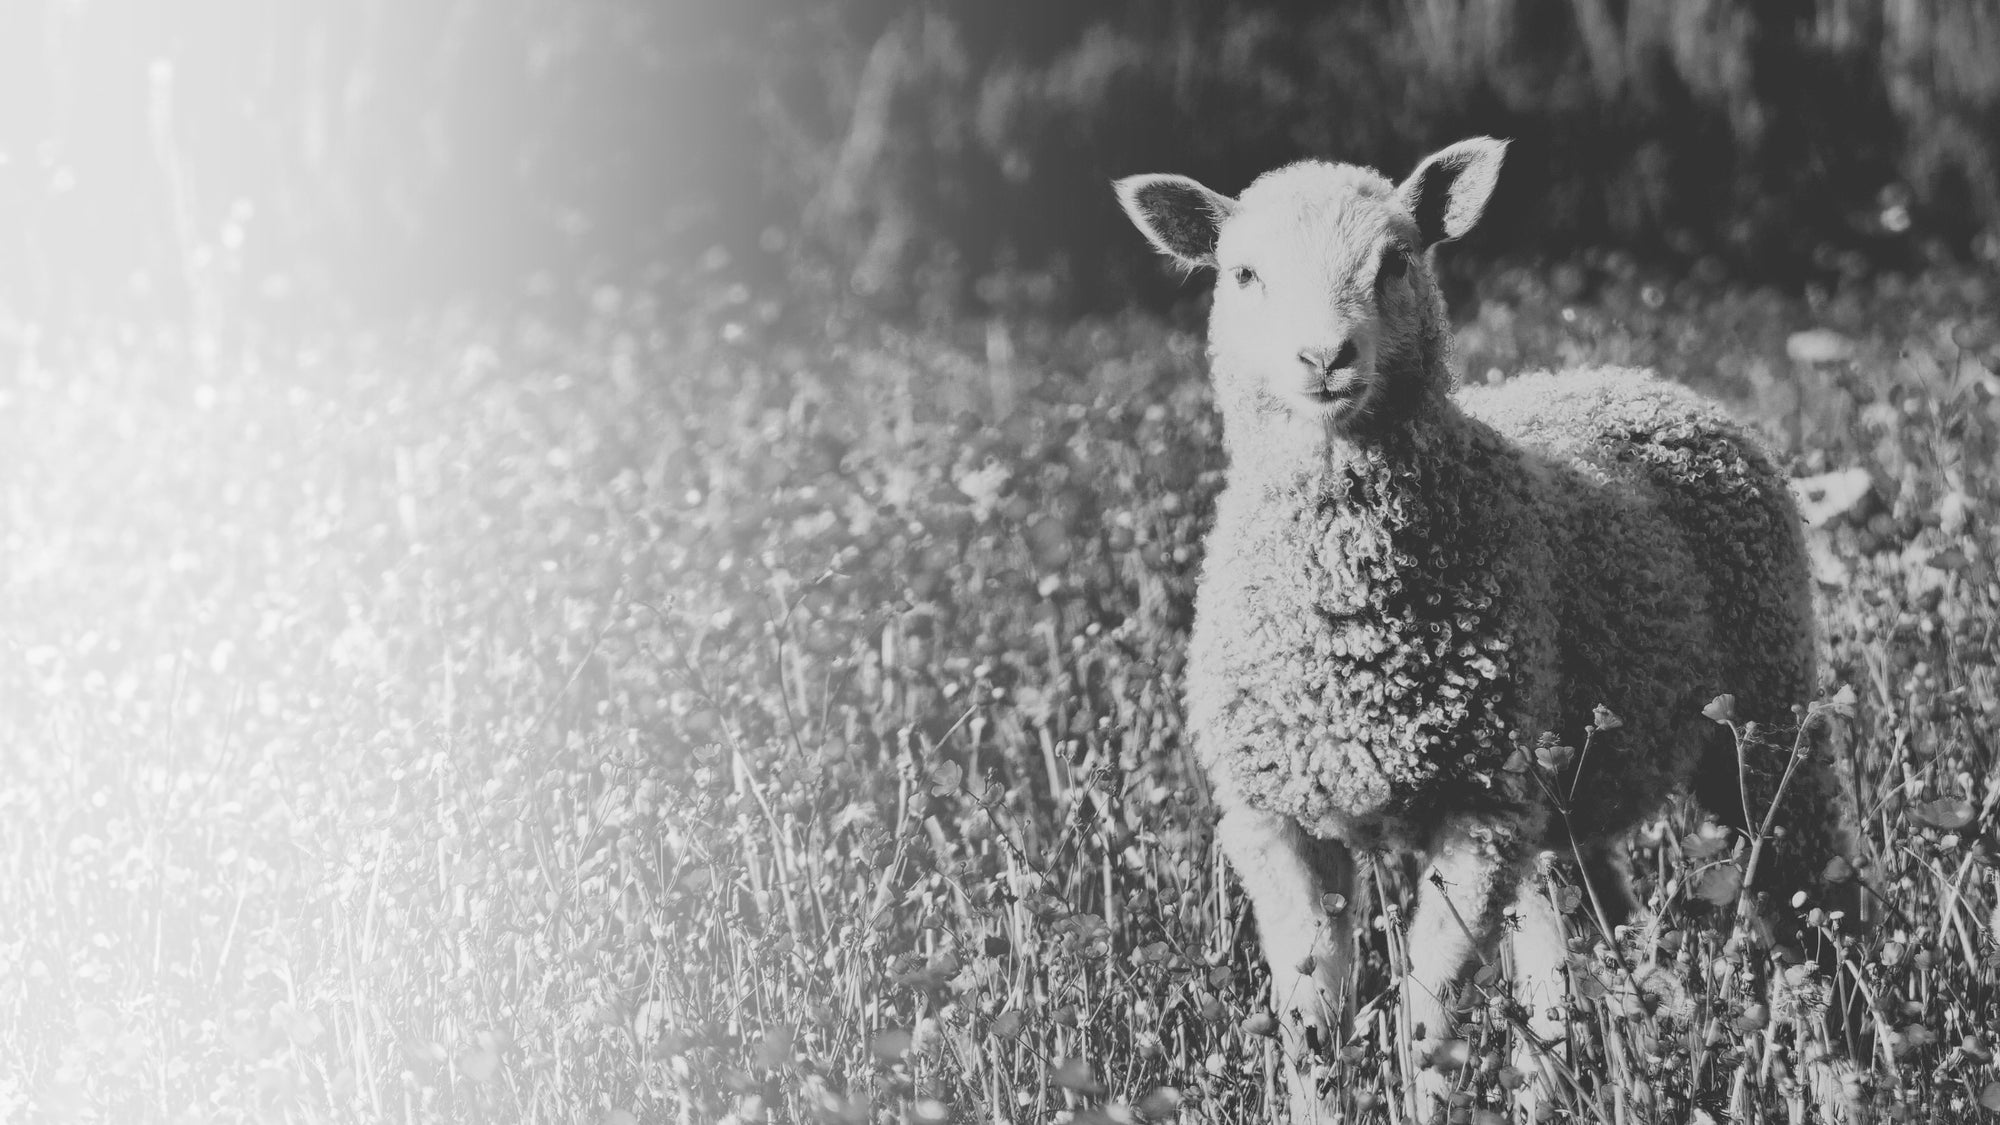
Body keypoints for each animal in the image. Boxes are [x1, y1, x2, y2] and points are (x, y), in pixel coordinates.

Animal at [1115, 139, 1850, 1121]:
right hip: (1561, 792)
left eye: (1395, 262)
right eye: (1243, 273)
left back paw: (1846, 1071)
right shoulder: (1278, 818)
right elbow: (1311, 1020)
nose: (1325, 357)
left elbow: (1430, 1017)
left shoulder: (1477, 811)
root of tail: (1636, 377)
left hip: (1764, 711)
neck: (1352, 630)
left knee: (1810, 905)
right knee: (1578, 955)